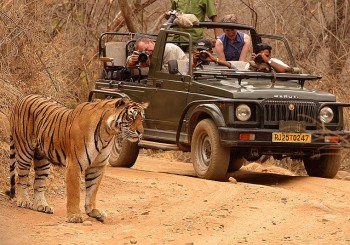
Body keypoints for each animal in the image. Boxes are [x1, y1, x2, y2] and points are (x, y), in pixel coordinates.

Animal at [6, 94, 148, 223]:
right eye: (131, 117)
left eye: (142, 118)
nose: (141, 132)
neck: (108, 133)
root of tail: (22, 98)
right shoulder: (74, 163)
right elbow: (74, 192)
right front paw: (74, 216)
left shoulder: (97, 166)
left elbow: (92, 190)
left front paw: (93, 211)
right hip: (24, 151)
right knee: (21, 178)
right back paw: (24, 201)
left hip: (42, 158)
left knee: (39, 183)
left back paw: (43, 206)